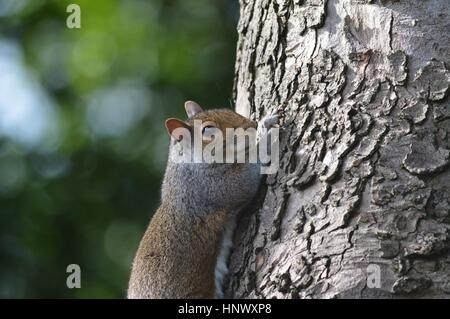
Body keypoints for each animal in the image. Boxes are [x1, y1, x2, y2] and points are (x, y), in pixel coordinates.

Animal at [125, 102, 274, 300]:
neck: (189, 165)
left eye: (228, 110)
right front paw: (267, 134)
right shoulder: (208, 188)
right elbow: (243, 183)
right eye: (208, 129)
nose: (253, 125)